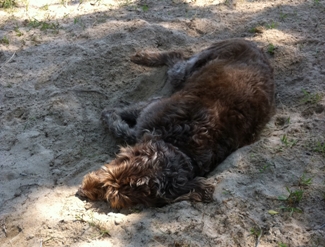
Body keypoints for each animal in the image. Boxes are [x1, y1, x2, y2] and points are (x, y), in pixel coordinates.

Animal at [77, 38, 274, 208]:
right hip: (187, 70)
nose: (81, 191)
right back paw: (143, 56)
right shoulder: (151, 107)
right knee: (176, 55)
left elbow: (122, 130)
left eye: (115, 197)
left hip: (182, 73)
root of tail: (253, 44)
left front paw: (109, 114)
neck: (181, 144)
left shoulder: (147, 115)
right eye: (110, 174)